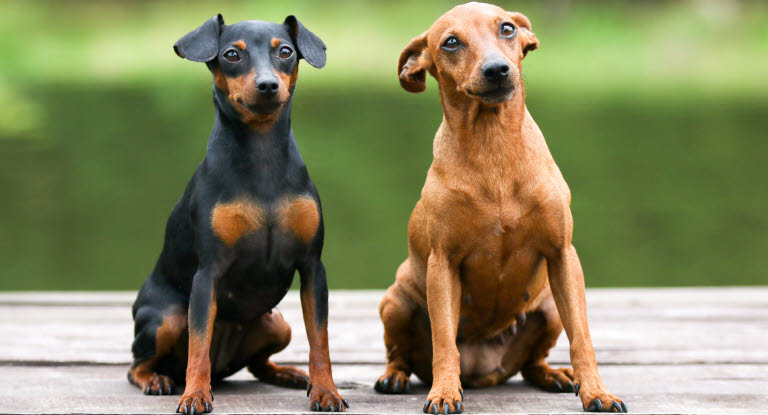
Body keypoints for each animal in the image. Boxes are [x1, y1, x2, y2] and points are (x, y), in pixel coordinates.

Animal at [128, 14, 348, 414]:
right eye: (232, 54)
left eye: (285, 52)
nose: (268, 85)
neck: (262, 157)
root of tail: (224, 366)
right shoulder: (208, 273)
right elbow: (198, 345)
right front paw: (194, 395)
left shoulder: (313, 268)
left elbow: (320, 341)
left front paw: (326, 391)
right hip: (165, 319)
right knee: (140, 363)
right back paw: (157, 379)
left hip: (277, 322)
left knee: (259, 364)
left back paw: (288, 373)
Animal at [376, 2, 628, 412]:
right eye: (451, 42)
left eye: (507, 28)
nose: (497, 69)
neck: (492, 144)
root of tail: (484, 370)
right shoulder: (443, 264)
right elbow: (444, 342)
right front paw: (444, 391)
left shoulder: (562, 255)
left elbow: (582, 339)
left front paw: (597, 392)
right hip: (395, 301)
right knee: (400, 354)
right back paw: (394, 377)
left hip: (549, 307)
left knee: (533, 363)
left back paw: (555, 375)